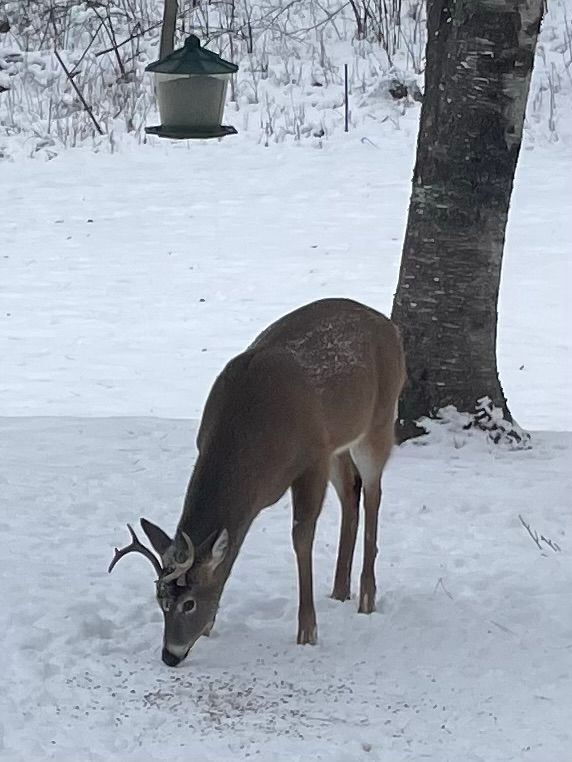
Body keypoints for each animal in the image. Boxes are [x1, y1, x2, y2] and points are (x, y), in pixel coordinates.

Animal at [109, 298, 406, 666]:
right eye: (159, 599)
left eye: (189, 603)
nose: (170, 656)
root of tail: (389, 326)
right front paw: (211, 627)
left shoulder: (312, 458)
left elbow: (301, 538)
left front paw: (307, 632)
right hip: (340, 440)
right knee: (351, 494)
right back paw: (339, 591)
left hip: (379, 419)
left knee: (374, 492)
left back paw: (366, 596)